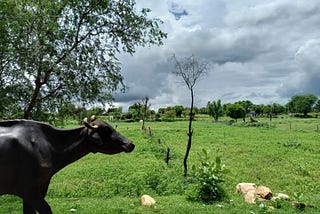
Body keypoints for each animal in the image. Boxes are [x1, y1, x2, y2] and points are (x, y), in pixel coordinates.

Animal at [0, 118, 134, 213]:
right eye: (106, 130)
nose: (130, 143)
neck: (48, 146)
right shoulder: (27, 190)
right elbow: (46, 209)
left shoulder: (41, 186)